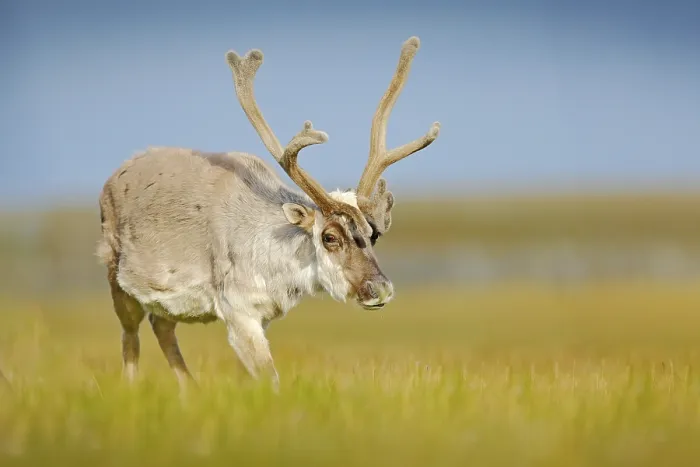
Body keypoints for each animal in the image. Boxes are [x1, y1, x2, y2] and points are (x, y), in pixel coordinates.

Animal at [97, 36, 440, 390]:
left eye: (374, 235)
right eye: (329, 237)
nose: (380, 288)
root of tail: (114, 176)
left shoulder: (262, 317)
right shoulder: (238, 312)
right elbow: (270, 379)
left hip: (166, 303)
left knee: (161, 326)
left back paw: (190, 390)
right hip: (117, 280)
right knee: (130, 335)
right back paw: (131, 389)